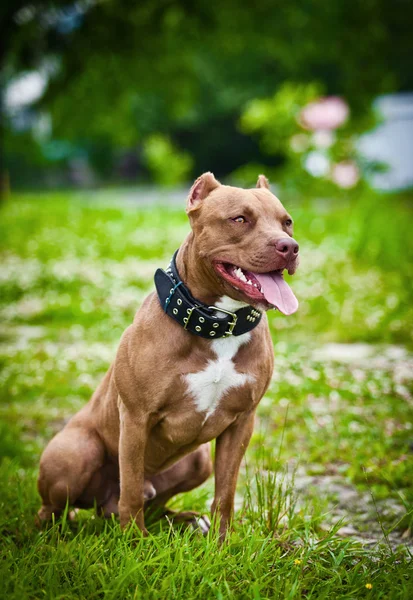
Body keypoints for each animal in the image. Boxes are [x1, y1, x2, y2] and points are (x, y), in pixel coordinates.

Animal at [37, 172, 298, 540]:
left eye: (287, 222)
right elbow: (131, 487)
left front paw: (221, 544)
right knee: (60, 507)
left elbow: (226, 492)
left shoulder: (241, 422)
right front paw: (134, 542)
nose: (289, 246)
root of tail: (102, 508)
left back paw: (186, 520)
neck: (218, 325)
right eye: (239, 219)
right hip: (76, 452)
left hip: (198, 459)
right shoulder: (135, 417)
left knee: (153, 502)